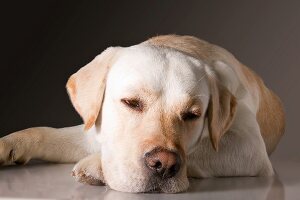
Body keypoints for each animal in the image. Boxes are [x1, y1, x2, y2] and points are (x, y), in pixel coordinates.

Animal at [0, 35, 286, 193]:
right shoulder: (94, 130)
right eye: (131, 102)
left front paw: (98, 165)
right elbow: (46, 133)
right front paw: (9, 144)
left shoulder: (250, 147)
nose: (165, 165)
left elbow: (199, 148)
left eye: (192, 115)